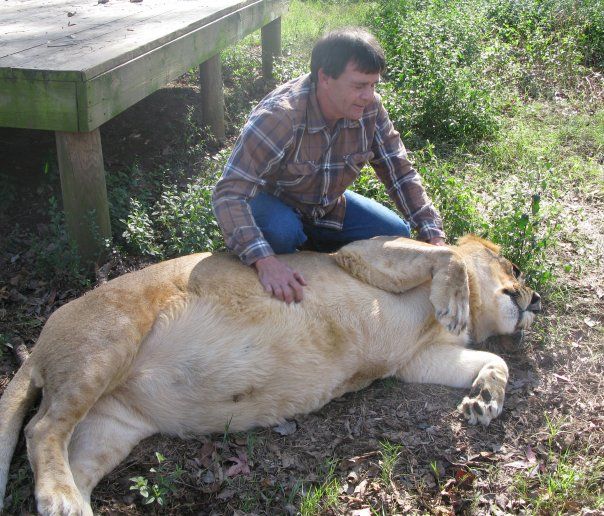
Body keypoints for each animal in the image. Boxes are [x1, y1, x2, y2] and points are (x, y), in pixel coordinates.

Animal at [0, 236, 540, 512]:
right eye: (512, 265)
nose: (536, 300)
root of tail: (42, 338)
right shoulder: (360, 252)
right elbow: (447, 255)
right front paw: (454, 298)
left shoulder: (416, 360)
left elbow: (497, 360)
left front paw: (484, 402)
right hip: (107, 342)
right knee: (41, 427)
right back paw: (59, 497)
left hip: (110, 426)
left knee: (69, 453)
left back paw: (69, 498)